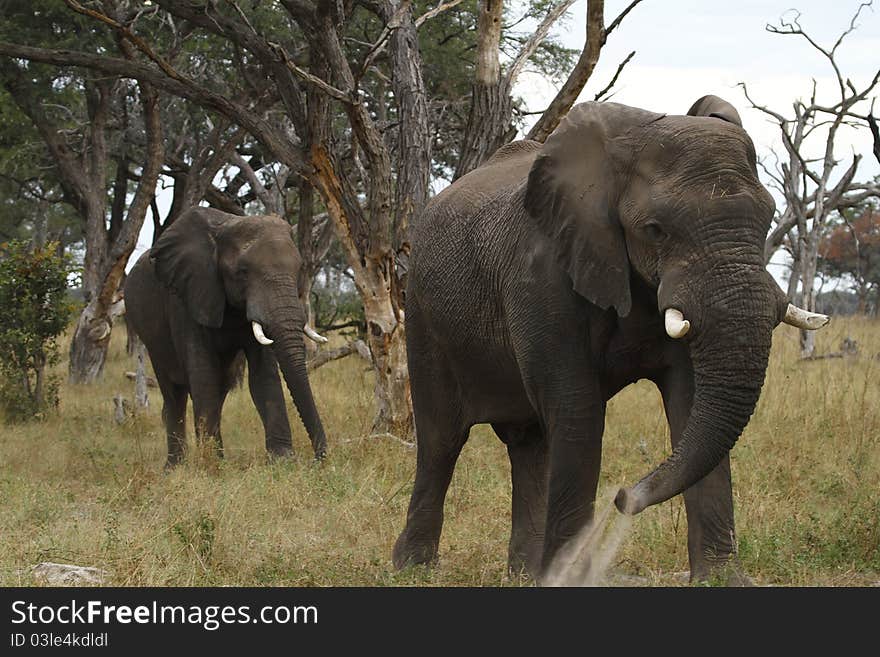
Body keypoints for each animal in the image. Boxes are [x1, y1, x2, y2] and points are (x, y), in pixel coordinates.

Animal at [125, 208, 328, 464]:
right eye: (242, 272)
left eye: (299, 269)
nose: (318, 459)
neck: (228, 224)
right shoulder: (187, 295)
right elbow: (203, 375)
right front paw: (211, 465)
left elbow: (263, 377)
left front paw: (282, 461)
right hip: (151, 338)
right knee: (174, 394)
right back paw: (176, 466)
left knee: (219, 390)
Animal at [396, 95, 828, 580]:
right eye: (656, 229)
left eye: (768, 217)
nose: (624, 498)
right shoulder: (542, 276)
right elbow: (578, 409)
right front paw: (569, 579)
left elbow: (689, 401)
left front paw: (722, 581)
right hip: (422, 314)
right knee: (441, 441)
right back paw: (412, 570)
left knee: (529, 444)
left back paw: (525, 575)